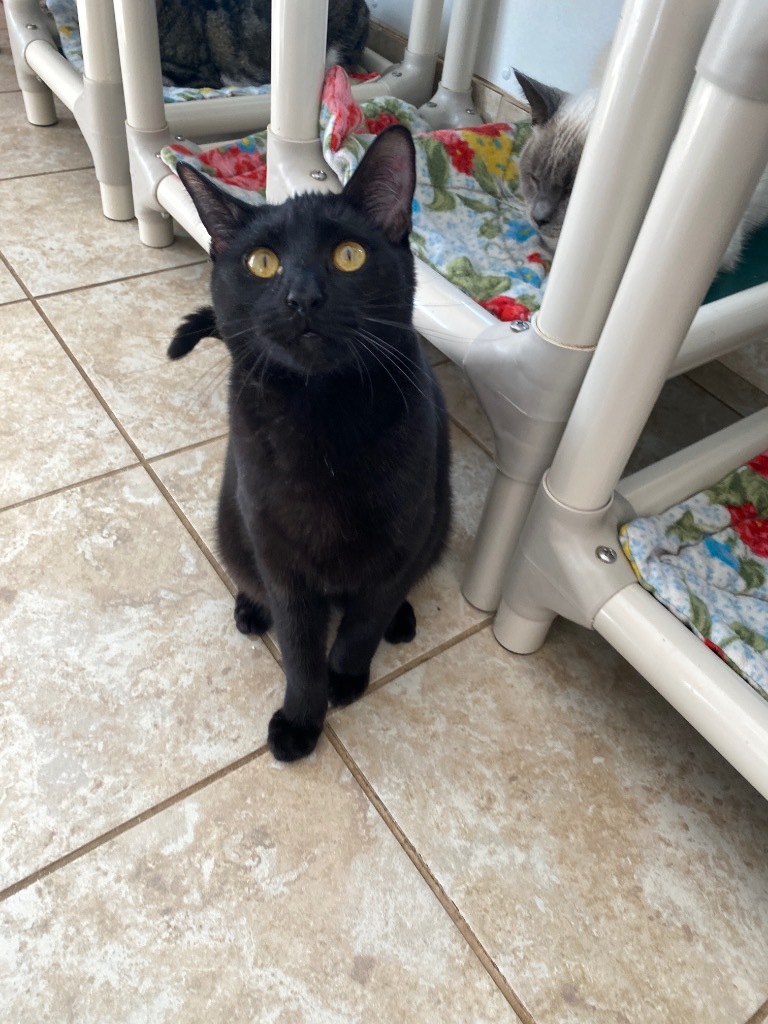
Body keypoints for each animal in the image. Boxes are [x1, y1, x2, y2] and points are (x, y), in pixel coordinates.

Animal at [166, 125, 450, 761]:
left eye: (349, 255)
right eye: (261, 263)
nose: (303, 297)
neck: (322, 418)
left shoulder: (403, 535)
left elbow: (364, 620)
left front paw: (345, 676)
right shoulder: (280, 553)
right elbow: (299, 647)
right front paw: (301, 718)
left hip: (439, 524)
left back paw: (400, 620)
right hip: (233, 523)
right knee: (247, 575)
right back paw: (251, 610)